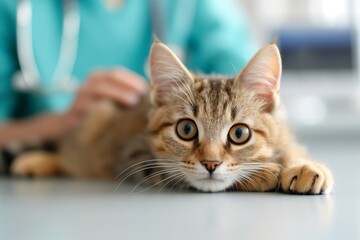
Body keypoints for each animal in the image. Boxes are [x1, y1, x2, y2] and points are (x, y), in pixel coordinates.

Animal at [11, 41, 332, 194]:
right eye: (186, 129)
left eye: (239, 134)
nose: (211, 164)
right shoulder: (134, 156)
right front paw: (262, 173)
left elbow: (291, 149)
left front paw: (304, 166)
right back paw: (35, 161)